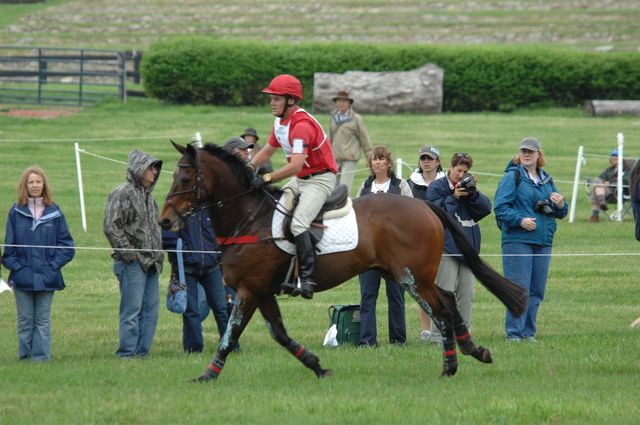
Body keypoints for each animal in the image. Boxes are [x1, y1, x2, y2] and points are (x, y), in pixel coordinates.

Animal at [159, 143, 524, 380]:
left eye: (186, 180)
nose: (165, 221)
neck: (248, 219)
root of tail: (424, 205)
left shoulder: (250, 289)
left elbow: (230, 335)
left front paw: (207, 375)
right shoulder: (261, 291)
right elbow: (279, 334)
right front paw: (317, 365)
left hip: (411, 278)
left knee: (442, 309)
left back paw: (453, 364)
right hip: (409, 276)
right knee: (447, 300)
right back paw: (468, 352)